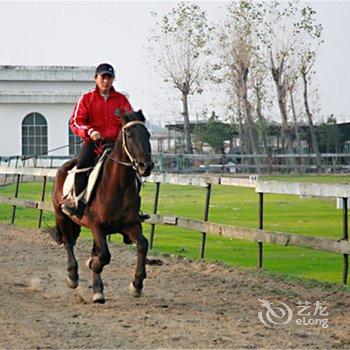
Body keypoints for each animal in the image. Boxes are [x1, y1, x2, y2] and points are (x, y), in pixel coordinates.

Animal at [50, 110, 153, 304]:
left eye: (148, 134)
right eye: (129, 135)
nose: (146, 166)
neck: (118, 186)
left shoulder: (130, 225)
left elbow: (143, 244)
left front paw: (136, 285)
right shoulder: (97, 226)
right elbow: (104, 256)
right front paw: (92, 265)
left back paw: (97, 288)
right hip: (62, 216)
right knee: (68, 242)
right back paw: (73, 277)